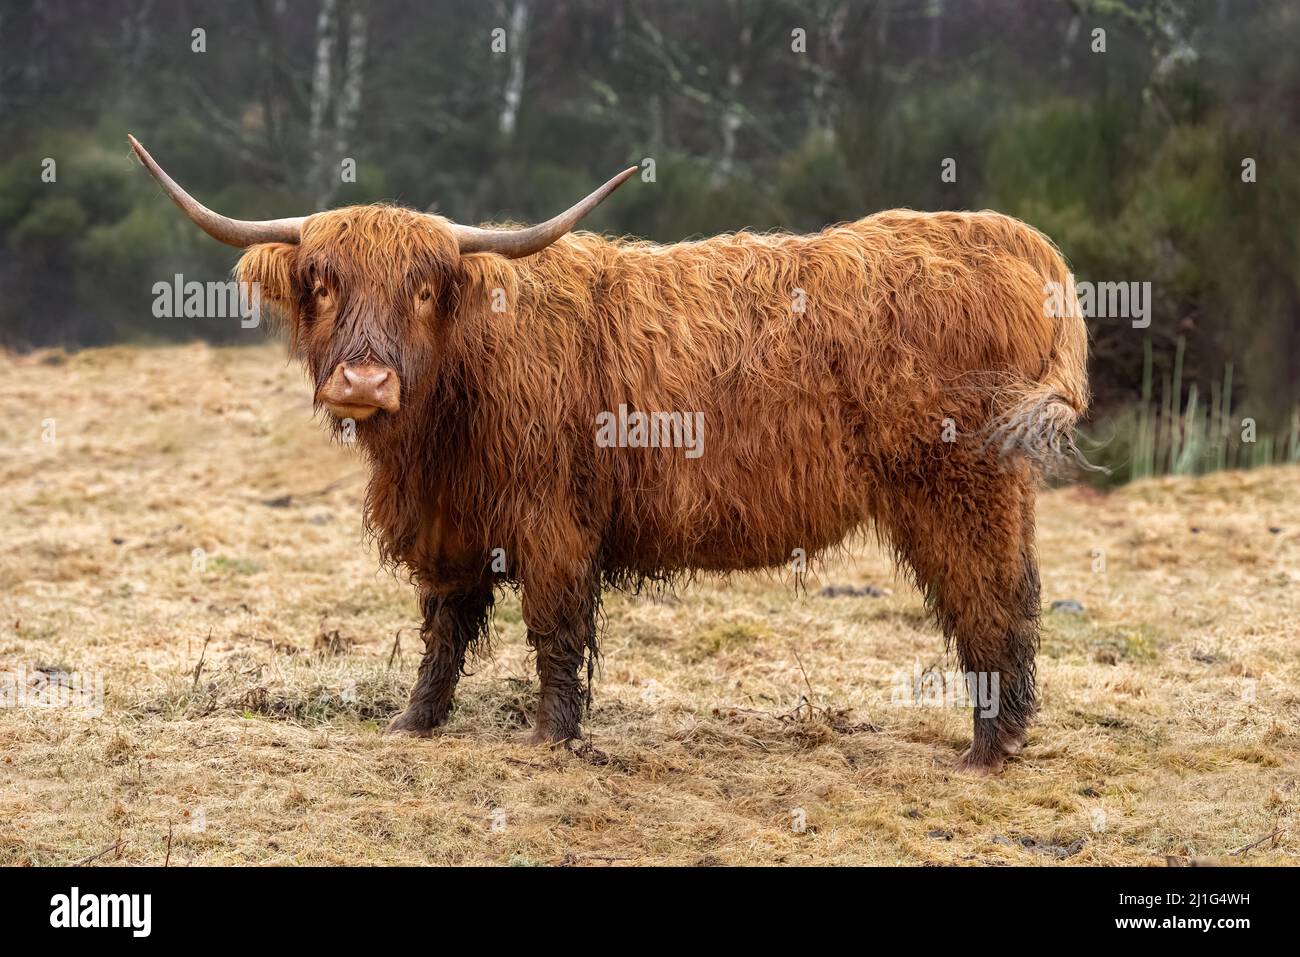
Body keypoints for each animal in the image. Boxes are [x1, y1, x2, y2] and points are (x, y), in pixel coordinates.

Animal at [129, 134, 1089, 773]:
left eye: (426, 286)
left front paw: (552, 736)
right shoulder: (449, 523)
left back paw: (987, 749)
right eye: (322, 282)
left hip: (960, 484)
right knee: (1016, 597)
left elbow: (554, 625)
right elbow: (444, 629)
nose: (364, 380)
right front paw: (414, 722)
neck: (453, 401)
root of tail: (1014, 239)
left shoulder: (551, 517)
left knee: (988, 601)